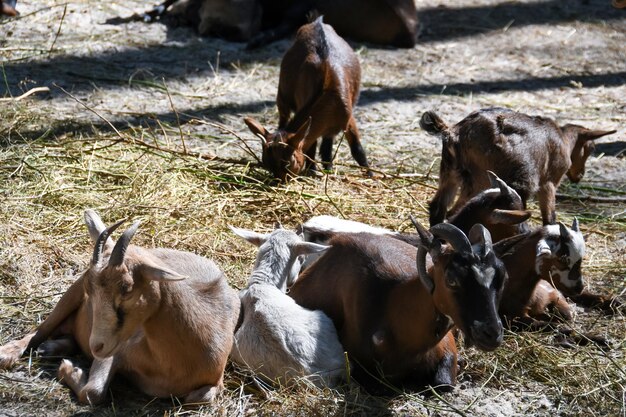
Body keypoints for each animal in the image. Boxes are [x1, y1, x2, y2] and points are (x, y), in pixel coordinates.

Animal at [0, 211, 239, 404]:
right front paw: (69, 369)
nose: (96, 345)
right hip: (70, 297)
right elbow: (93, 392)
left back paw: (51, 348)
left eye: (127, 289)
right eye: (89, 288)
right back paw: (9, 353)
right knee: (42, 329)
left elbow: (198, 398)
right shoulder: (115, 352)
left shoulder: (214, 382)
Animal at [243, 15, 370, 181]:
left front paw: (370, 174)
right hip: (282, 94)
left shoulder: (348, 118)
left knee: (327, 142)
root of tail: (317, 22)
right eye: (267, 164)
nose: (279, 181)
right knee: (284, 120)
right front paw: (312, 170)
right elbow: (312, 147)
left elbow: (356, 149)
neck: (328, 94)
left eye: (288, 163)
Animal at [420, 106, 616, 224]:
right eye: (591, 148)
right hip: (477, 178)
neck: (563, 141)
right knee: (456, 212)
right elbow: (549, 218)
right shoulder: (548, 183)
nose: (579, 176)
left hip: (450, 172)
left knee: (438, 208)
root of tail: (454, 132)